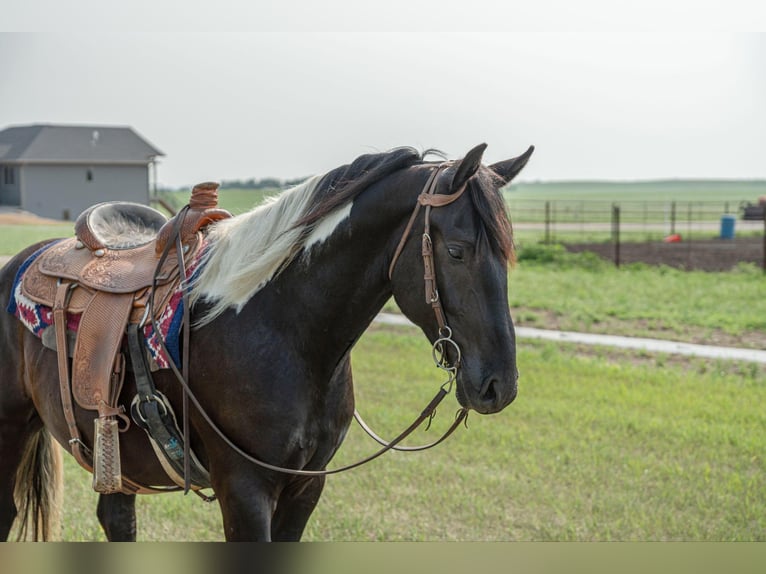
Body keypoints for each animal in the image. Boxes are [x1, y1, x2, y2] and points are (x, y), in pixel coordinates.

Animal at [1, 142, 536, 544]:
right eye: (457, 251)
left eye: (508, 254)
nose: (500, 385)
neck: (282, 329)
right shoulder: (244, 488)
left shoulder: (307, 486)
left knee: (116, 520)